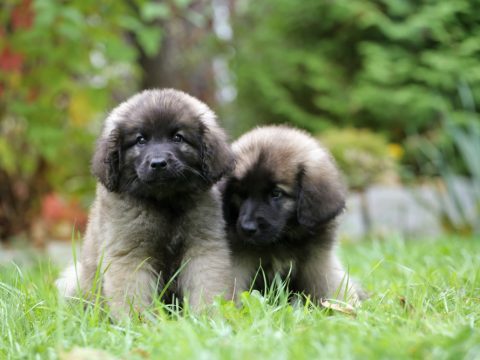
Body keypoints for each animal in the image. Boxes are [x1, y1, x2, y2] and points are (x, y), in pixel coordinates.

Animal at [55, 88, 234, 320]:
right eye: (140, 140)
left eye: (178, 137)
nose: (158, 164)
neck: (166, 202)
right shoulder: (130, 255)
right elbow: (133, 297)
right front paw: (138, 323)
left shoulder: (204, 249)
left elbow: (207, 288)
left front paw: (206, 319)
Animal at [221, 125, 360, 306]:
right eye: (241, 193)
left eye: (276, 193)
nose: (247, 228)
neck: (283, 239)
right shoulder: (240, 259)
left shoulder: (318, 261)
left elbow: (331, 286)